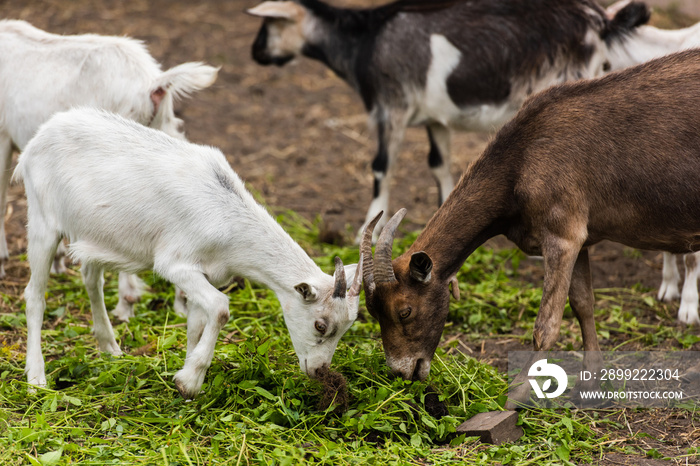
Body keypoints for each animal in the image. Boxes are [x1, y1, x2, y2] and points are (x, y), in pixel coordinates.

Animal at [0, 19, 219, 320]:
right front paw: (58, 261)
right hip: (163, 133)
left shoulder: (2, 135)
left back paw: (126, 302)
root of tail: (152, 85)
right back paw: (181, 303)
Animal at [14, 107, 364, 398]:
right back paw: (36, 378)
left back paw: (110, 348)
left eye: (347, 328)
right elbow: (220, 309)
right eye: (321, 325)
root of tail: (40, 136)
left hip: (93, 232)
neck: (227, 218)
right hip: (43, 222)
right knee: (35, 295)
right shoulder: (175, 264)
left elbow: (198, 321)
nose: (319, 371)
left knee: (90, 278)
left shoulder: (206, 273)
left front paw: (185, 376)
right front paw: (191, 380)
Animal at [249, 0, 648, 238]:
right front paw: (444, 211)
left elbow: (381, 167)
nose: (255, 53)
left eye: (268, 25)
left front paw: (369, 225)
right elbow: (439, 165)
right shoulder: (435, 119)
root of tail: (599, 21)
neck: (366, 39)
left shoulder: (390, 105)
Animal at [360, 51, 700, 406]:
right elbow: (583, 304)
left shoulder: (562, 234)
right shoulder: (580, 238)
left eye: (405, 311)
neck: (522, 160)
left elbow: (546, 325)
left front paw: (515, 398)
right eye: (371, 311)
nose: (402, 371)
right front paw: (591, 384)